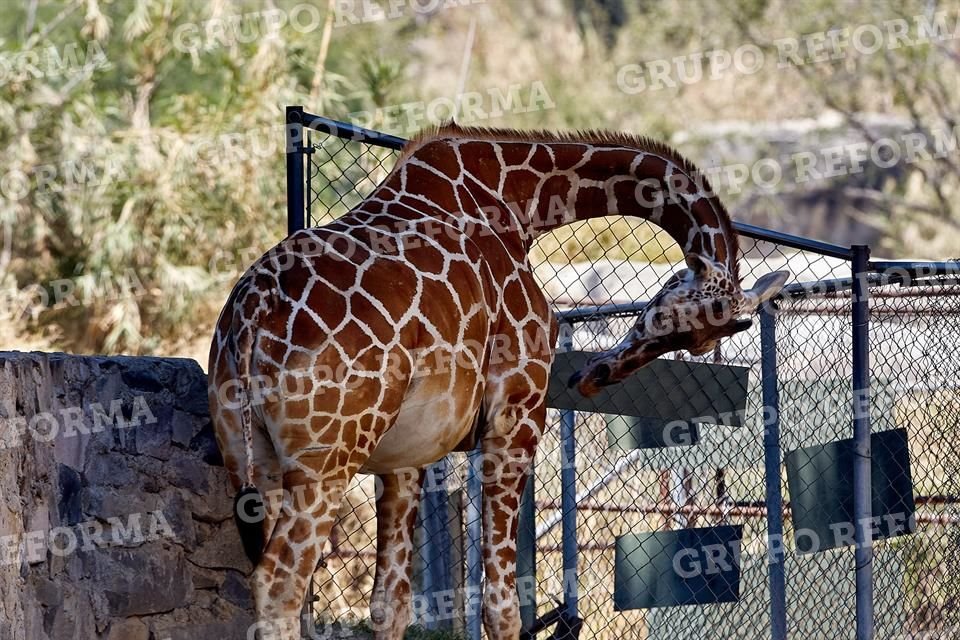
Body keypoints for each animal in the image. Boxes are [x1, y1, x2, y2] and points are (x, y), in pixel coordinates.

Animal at [206, 122, 784, 636]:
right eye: (667, 320)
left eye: (697, 343)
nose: (596, 377)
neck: (517, 200)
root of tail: (252, 313)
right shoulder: (516, 416)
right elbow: (502, 608)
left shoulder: (406, 454)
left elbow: (391, 603)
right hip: (327, 459)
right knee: (279, 585)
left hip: (252, 459)